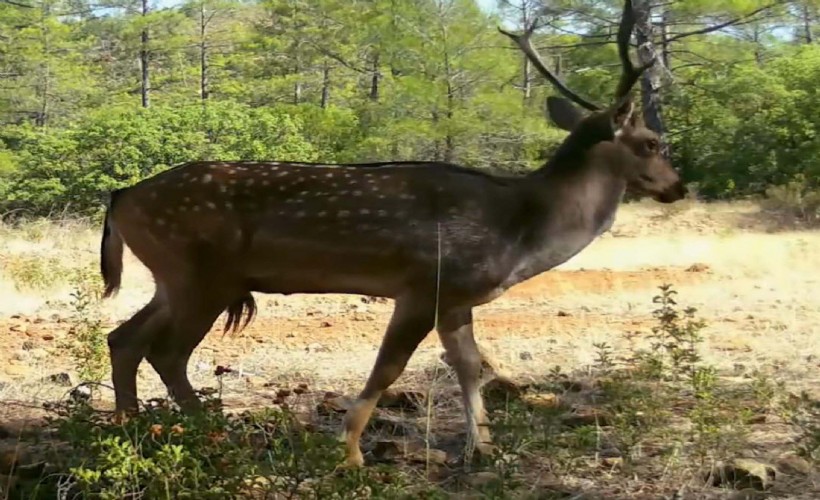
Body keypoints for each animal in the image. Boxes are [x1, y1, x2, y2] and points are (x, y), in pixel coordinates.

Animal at [96, 0, 684, 468]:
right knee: (167, 351)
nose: (677, 187)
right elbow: (389, 368)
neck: (519, 228)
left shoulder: (457, 296)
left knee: (125, 337)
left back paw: (128, 430)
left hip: (176, 277)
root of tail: (120, 196)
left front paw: (483, 449)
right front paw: (350, 454)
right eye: (653, 142)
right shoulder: (424, 283)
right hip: (202, 272)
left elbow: (470, 366)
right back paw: (209, 434)